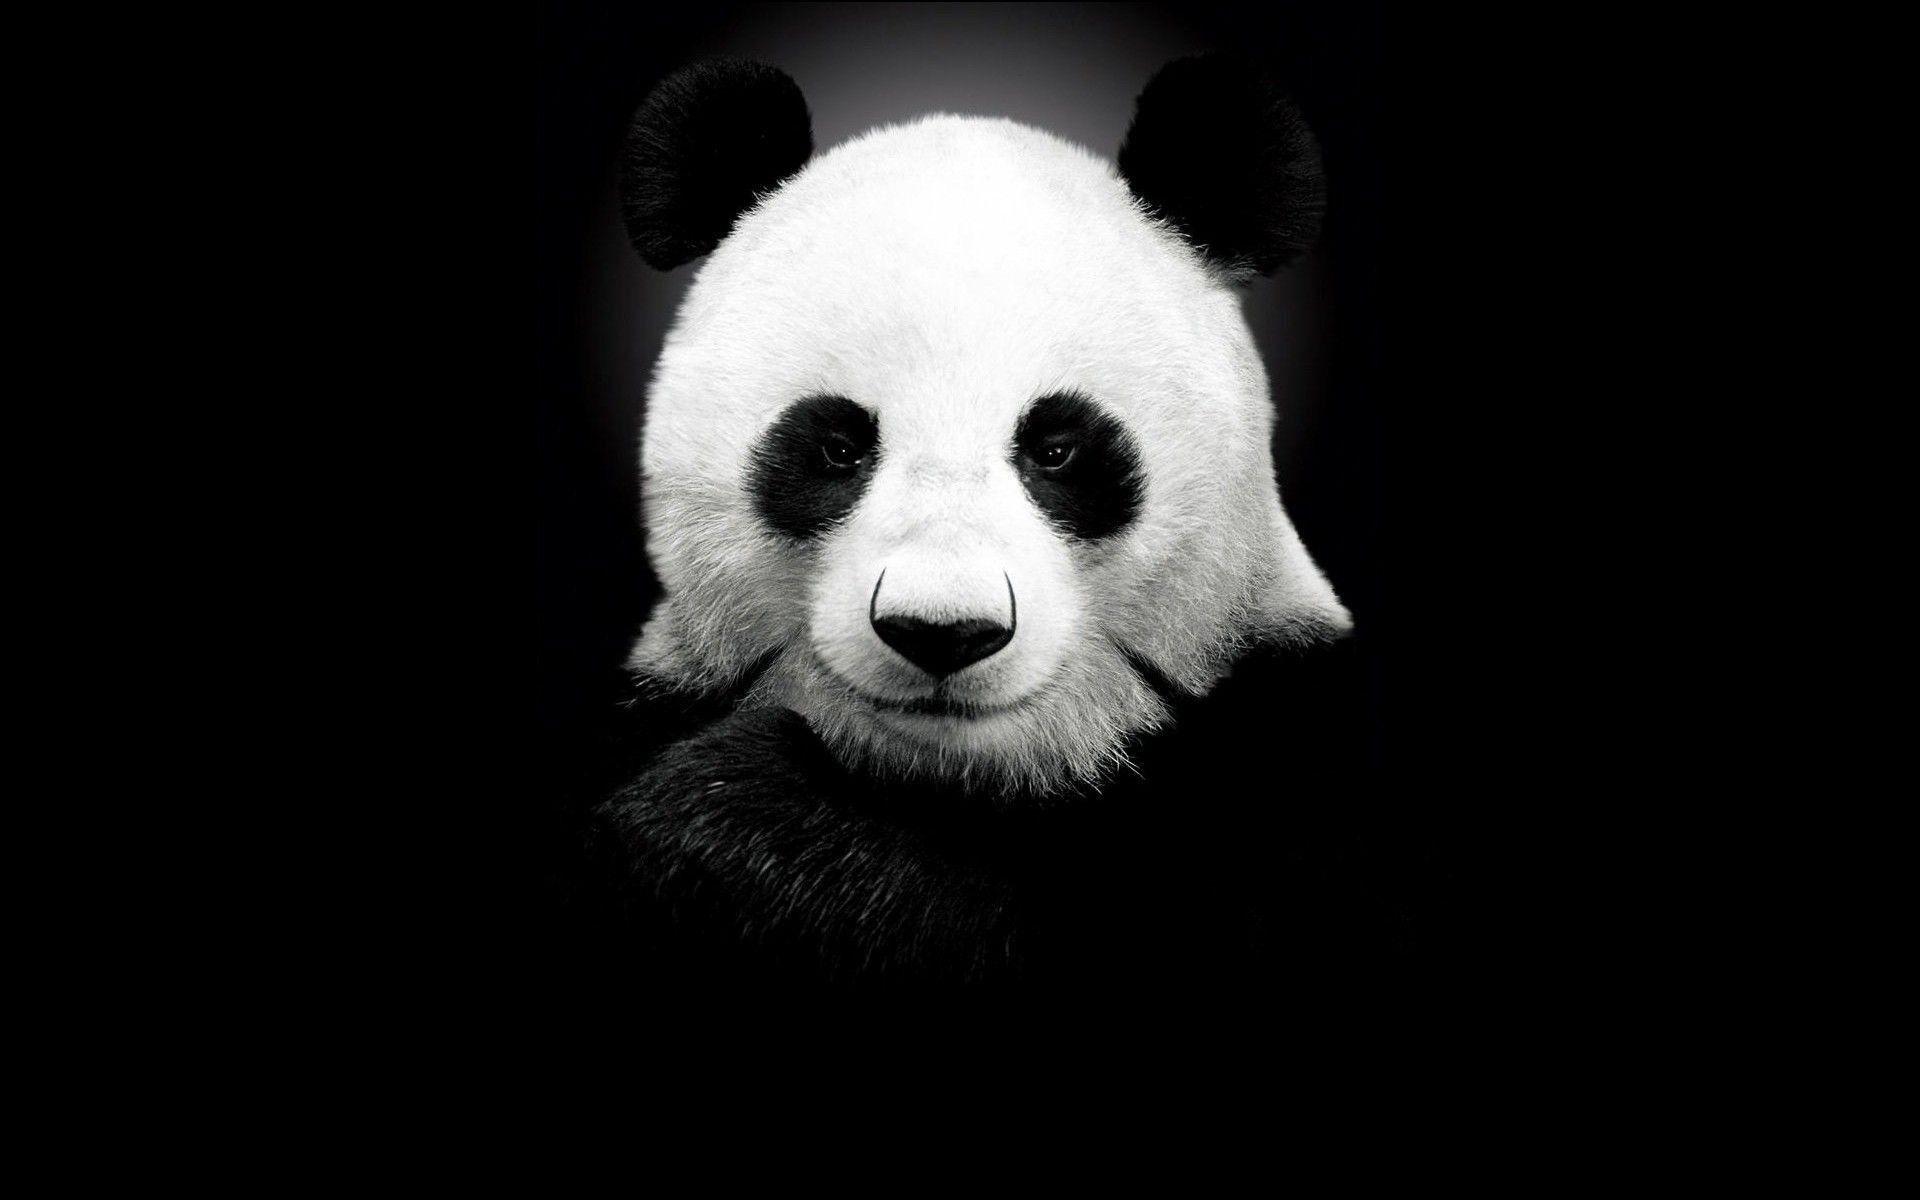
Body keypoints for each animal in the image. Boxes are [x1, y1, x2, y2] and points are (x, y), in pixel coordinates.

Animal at [581, 56, 1421, 991]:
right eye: (837, 447)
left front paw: (734, 823)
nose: (942, 632)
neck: (957, 779)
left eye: (1056, 449)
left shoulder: (1294, 762)